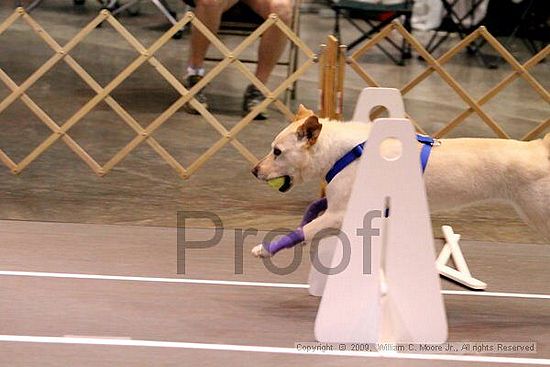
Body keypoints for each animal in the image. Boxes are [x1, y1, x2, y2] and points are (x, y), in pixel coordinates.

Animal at [252, 105, 550, 256]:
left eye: (277, 152)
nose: (254, 171)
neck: (343, 151)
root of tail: (541, 147)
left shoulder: (339, 213)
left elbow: (305, 229)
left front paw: (265, 249)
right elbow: (311, 213)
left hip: (539, 214)